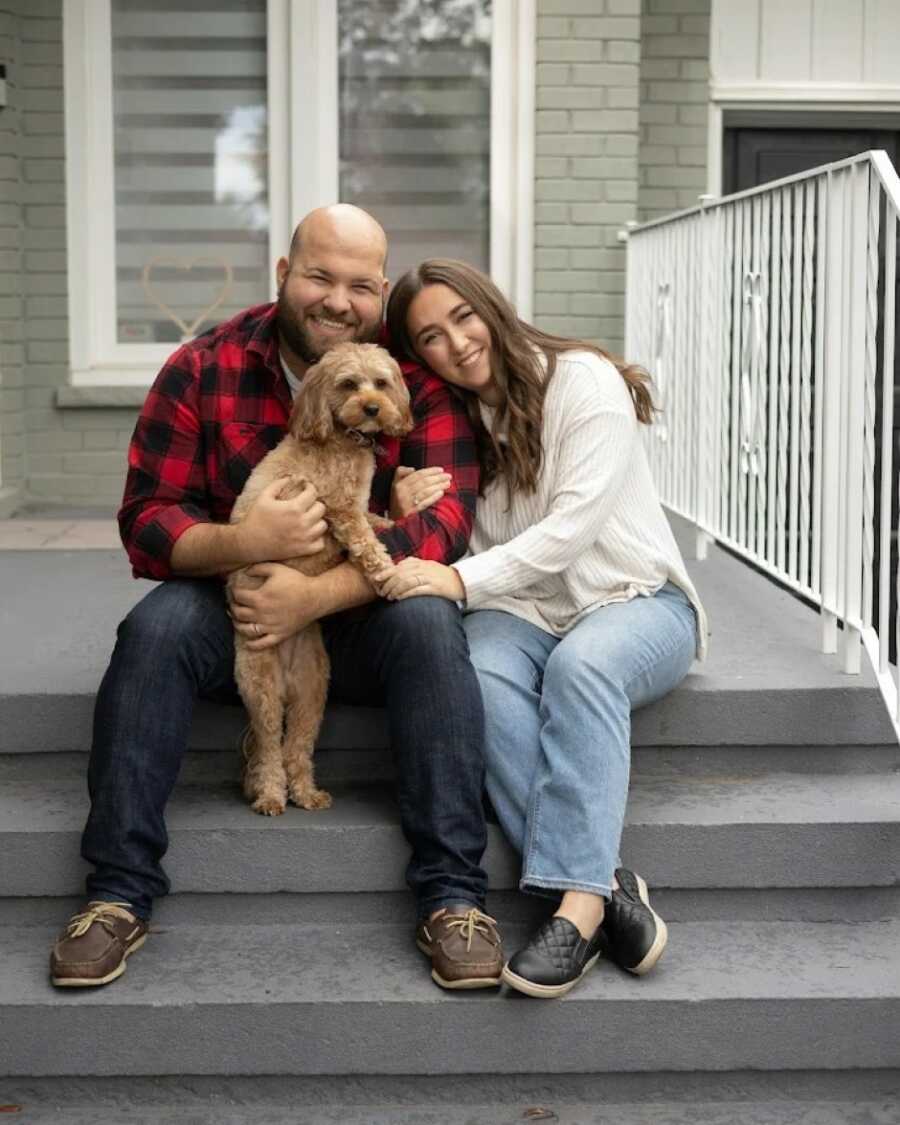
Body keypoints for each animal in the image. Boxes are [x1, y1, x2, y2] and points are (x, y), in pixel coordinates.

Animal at [230, 342, 416, 819]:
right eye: (348, 384)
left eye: (381, 382)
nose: (372, 408)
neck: (341, 437)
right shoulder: (336, 506)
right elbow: (364, 540)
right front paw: (385, 571)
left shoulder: (354, 505)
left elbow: (374, 521)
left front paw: (393, 523)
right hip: (260, 687)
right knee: (270, 749)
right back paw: (271, 796)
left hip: (313, 694)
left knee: (296, 747)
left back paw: (306, 793)